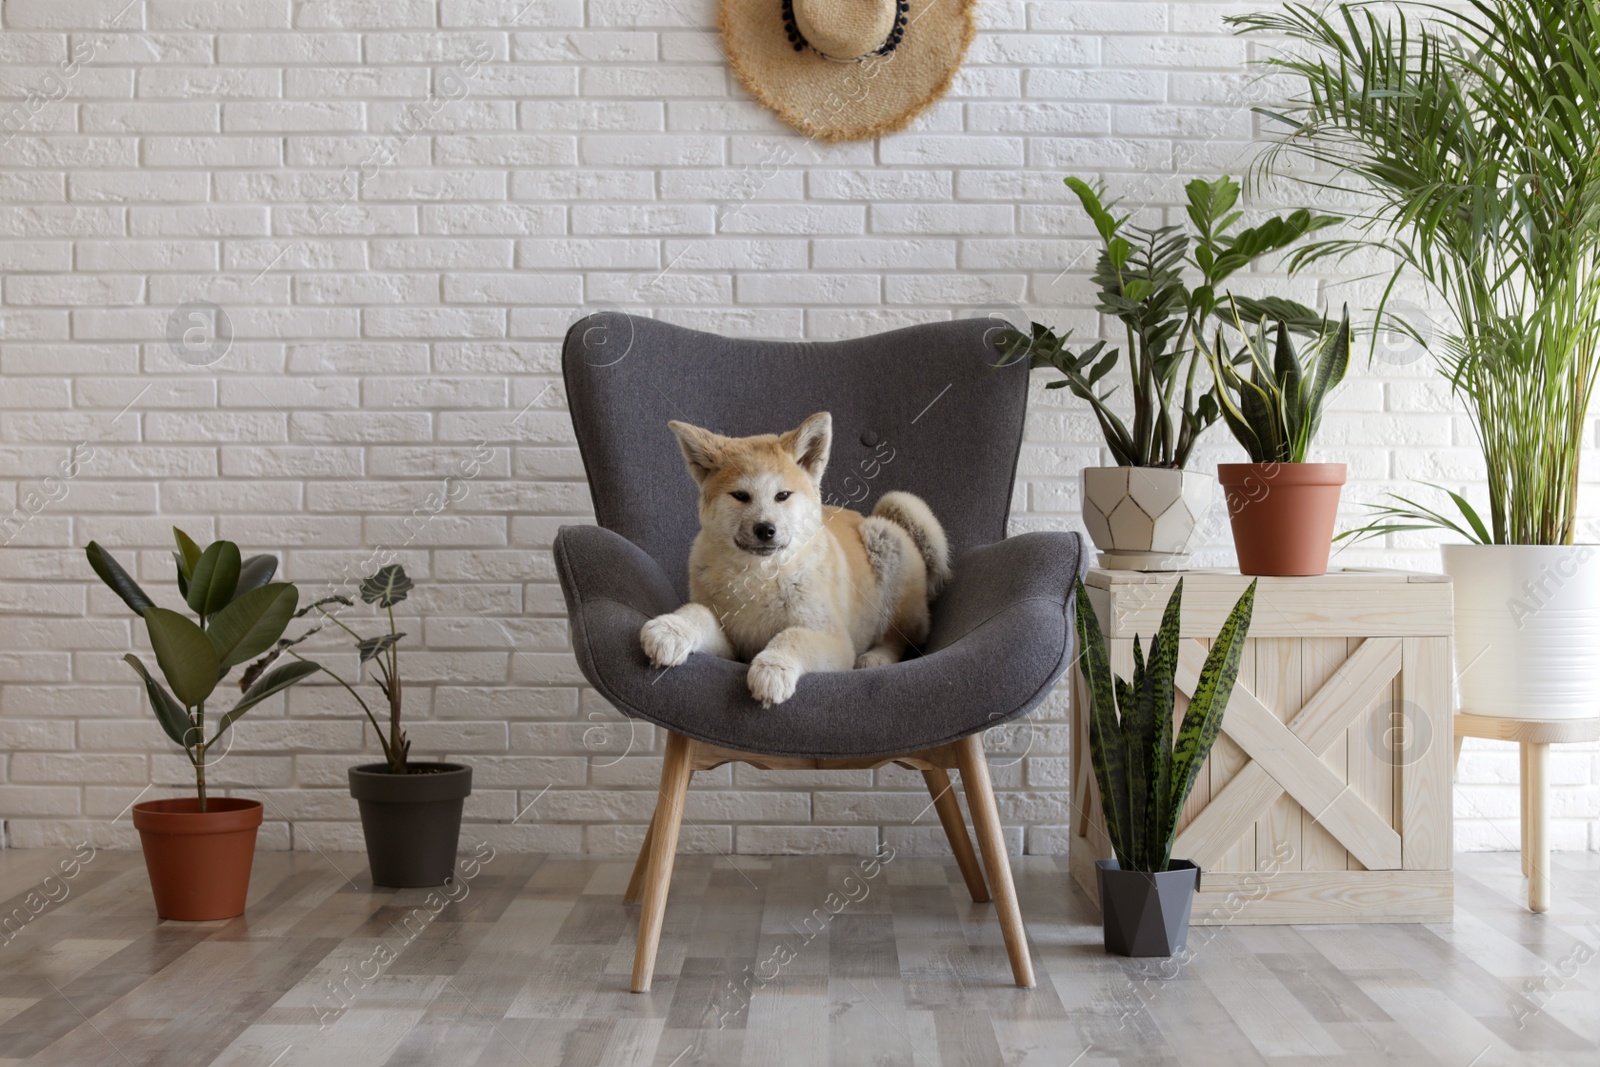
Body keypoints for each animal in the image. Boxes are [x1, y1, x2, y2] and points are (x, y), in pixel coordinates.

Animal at [636, 415, 947, 710]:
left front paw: (773, 668)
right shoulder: (733, 645)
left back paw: (876, 657)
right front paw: (672, 629)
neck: (758, 578)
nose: (765, 529)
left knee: (900, 637)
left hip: (888, 546)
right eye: (740, 496)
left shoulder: (835, 640)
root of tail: (867, 517)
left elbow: (793, 636)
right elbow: (698, 612)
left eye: (782, 495)